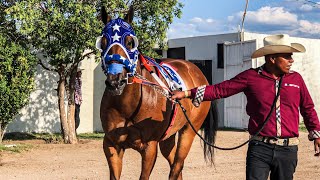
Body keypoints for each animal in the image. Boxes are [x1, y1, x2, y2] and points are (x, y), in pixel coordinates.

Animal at [97, 6, 218, 179]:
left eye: (130, 42)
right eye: (103, 43)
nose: (115, 82)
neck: (128, 106)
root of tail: (198, 73)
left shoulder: (149, 147)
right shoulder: (111, 144)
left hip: (189, 131)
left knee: (177, 165)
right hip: (168, 137)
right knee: (175, 163)